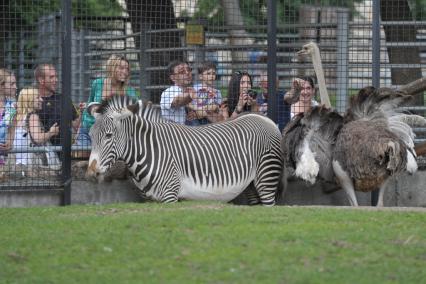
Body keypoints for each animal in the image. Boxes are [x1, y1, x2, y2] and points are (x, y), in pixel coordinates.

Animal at [86, 96, 282, 205]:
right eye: (90, 136)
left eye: (109, 136)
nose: (90, 172)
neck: (150, 149)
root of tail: (265, 118)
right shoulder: (150, 200)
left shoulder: (170, 196)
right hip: (250, 185)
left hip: (267, 177)